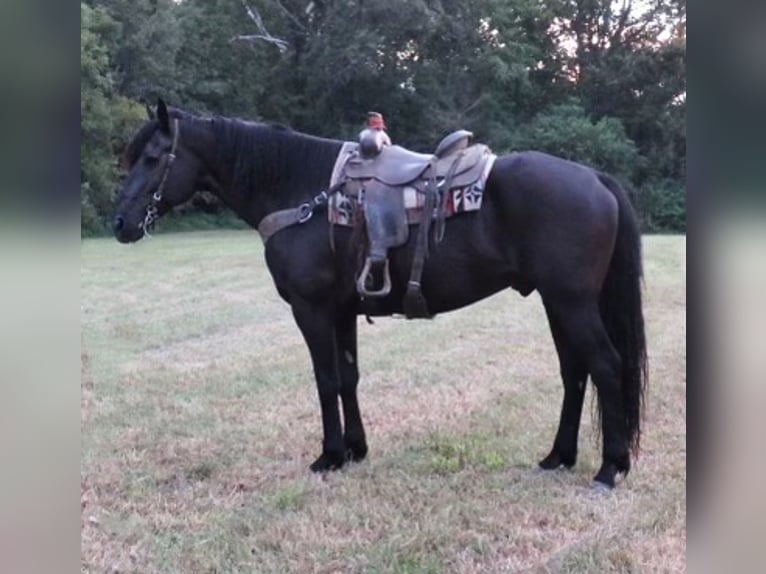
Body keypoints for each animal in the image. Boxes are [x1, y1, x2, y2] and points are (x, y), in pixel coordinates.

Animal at [112, 100, 648, 490]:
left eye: (153, 158)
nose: (119, 223)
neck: (302, 191)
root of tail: (594, 177)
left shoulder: (311, 309)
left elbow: (326, 379)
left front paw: (329, 456)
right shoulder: (342, 310)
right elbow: (349, 377)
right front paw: (355, 449)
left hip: (572, 302)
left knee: (605, 365)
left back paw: (610, 467)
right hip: (557, 302)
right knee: (574, 372)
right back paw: (559, 456)